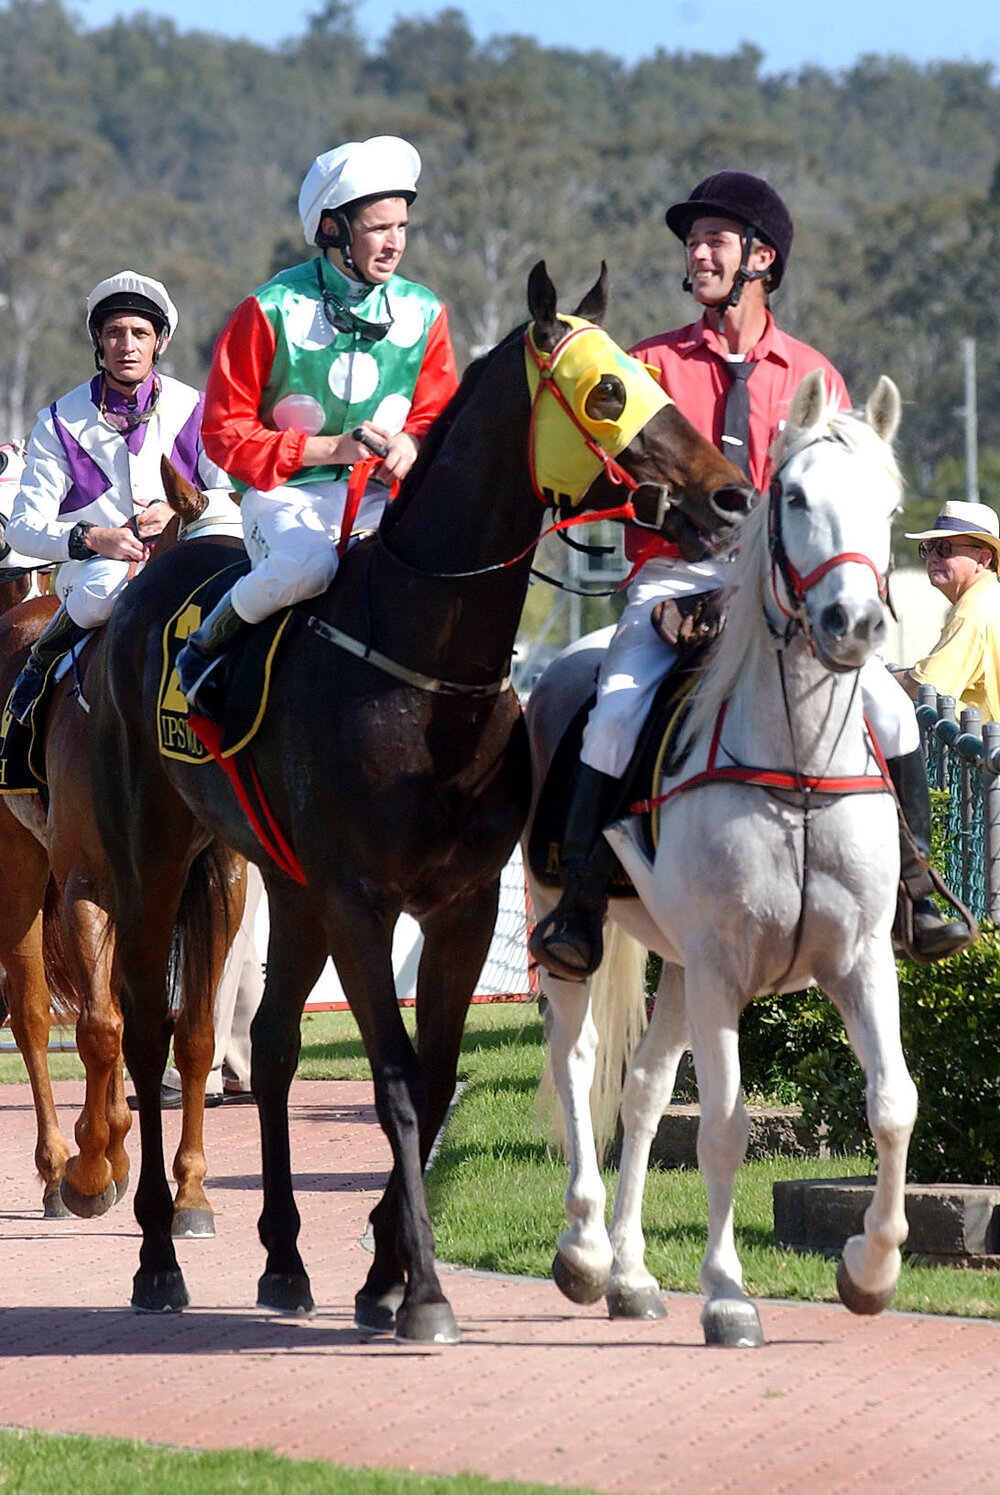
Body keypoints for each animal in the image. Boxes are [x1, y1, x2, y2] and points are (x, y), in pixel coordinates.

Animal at [0, 491, 244, 1230]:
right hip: (19, 869)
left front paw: (189, 1190)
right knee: (31, 1012)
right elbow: (100, 1029)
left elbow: (192, 1032)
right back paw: (60, 1165)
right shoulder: (88, 882)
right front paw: (88, 1170)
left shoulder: (218, 886)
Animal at [88, 261, 755, 1337]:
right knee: (149, 1030)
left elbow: (436, 1079)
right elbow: (397, 1077)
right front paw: (425, 1292)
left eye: (652, 378)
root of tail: (149, 584)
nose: (732, 495)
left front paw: (384, 1275)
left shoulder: (459, 905)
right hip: (152, 858)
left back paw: (285, 1261)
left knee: (272, 1043)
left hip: (288, 884)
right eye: (611, 391)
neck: (424, 675)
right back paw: (158, 1257)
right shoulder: (362, 901)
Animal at [525, 369, 917, 1348]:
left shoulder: (861, 963)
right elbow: (726, 1128)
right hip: (572, 931)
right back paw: (586, 1250)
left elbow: (893, 1103)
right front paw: (729, 1291)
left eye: (889, 505)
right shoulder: (720, 970)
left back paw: (630, 1275)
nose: (853, 621)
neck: (798, 765)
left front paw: (870, 1268)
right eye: (796, 496)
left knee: (642, 1090)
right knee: (580, 1062)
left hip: (671, 959)